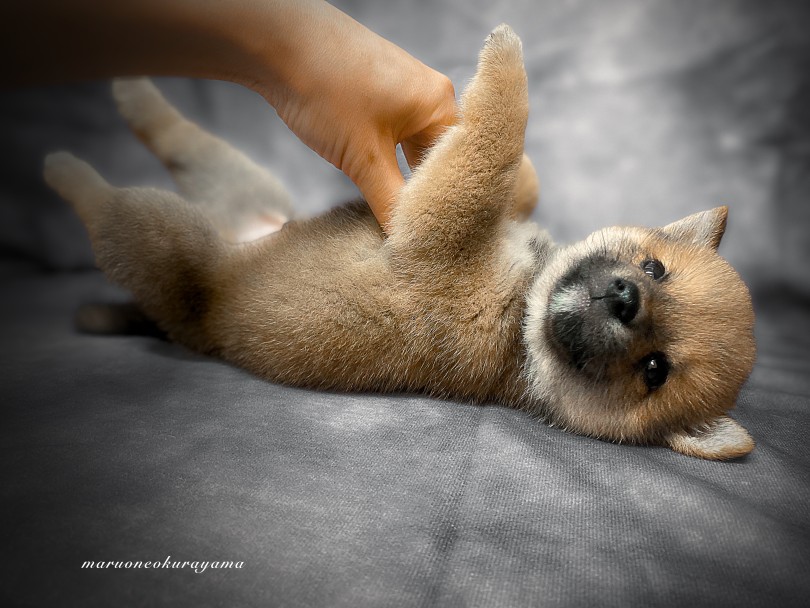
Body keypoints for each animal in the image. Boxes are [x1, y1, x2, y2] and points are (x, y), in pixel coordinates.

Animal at [44, 26, 756, 458]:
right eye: (655, 267)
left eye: (655, 370)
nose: (627, 299)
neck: (523, 308)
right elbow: (511, 169)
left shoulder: (435, 233)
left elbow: (488, 151)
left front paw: (506, 59)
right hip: (241, 186)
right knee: (181, 141)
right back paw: (133, 92)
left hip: (168, 241)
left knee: (116, 214)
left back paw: (67, 169)